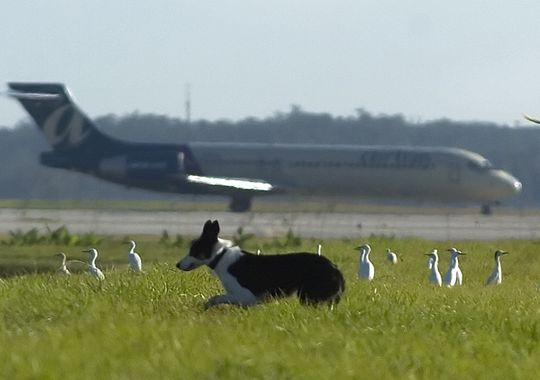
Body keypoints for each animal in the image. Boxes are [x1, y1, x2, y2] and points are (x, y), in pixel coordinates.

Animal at [177, 220, 346, 308]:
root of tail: (335, 268)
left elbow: (216, 298)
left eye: (193, 251)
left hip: (307, 296)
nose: (177, 265)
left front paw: (206, 306)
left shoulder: (246, 296)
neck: (220, 256)